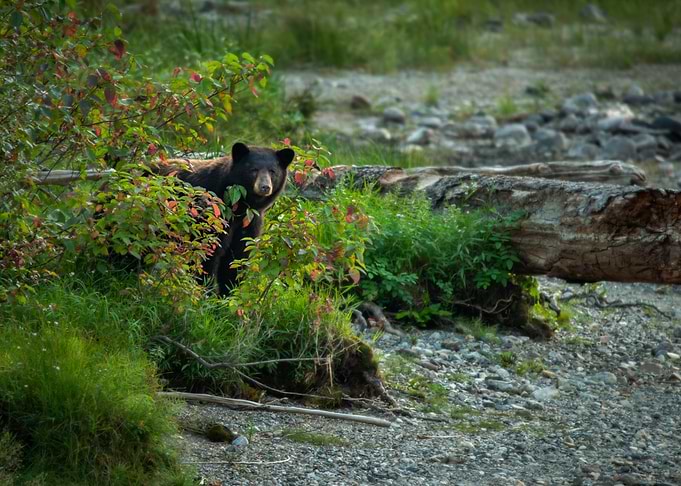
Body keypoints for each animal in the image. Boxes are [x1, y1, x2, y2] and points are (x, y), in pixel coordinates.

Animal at [158, 142, 295, 295]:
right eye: (253, 169)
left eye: (272, 171)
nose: (265, 187)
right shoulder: (212, 215)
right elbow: (206, 252)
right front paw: (207, 293)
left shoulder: (249, 222)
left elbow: (236, 258)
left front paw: (229, 294)